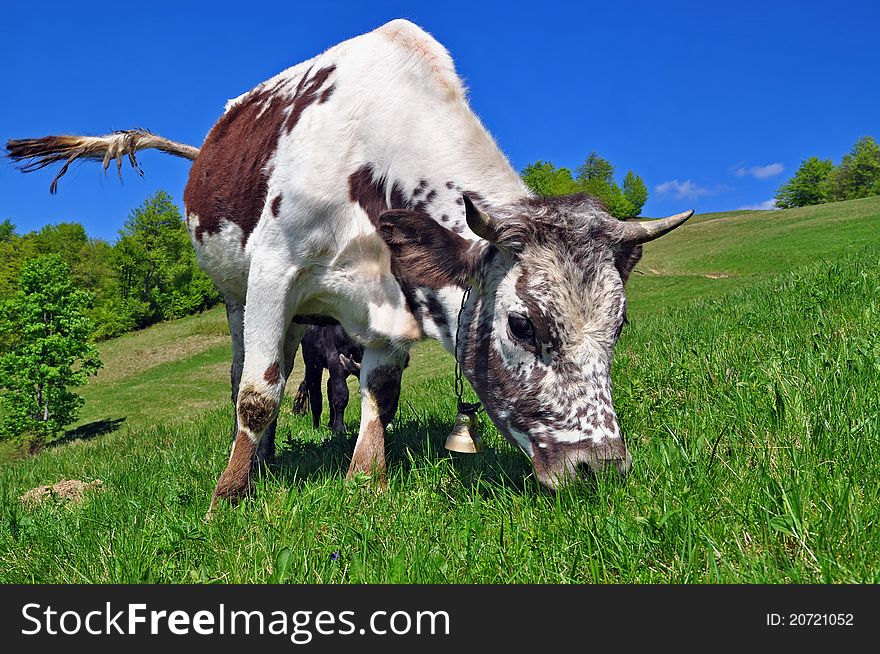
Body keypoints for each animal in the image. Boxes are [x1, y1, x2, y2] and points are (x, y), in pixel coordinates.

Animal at [8, 19, 696, 512]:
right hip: (237, 297)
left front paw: (366, 478)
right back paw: (258, 461)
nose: (598, 467)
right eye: (522, 325)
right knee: (245, 376)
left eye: (620, 325)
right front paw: (228, 495)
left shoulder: (393, 293)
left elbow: (379, 392)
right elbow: (257, 394)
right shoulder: (274, 272)